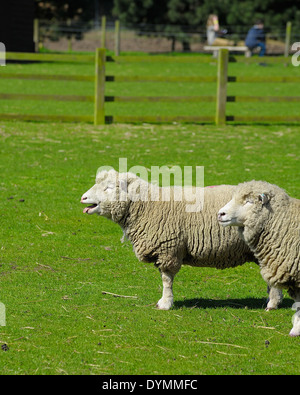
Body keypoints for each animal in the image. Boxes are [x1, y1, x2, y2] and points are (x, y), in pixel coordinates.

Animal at [81, 170, 282, 312]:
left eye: (108, 187)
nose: (83, 198)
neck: (147, 206)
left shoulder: (168, 249)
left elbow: (166, 279)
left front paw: (165, 303)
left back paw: (272, 302)